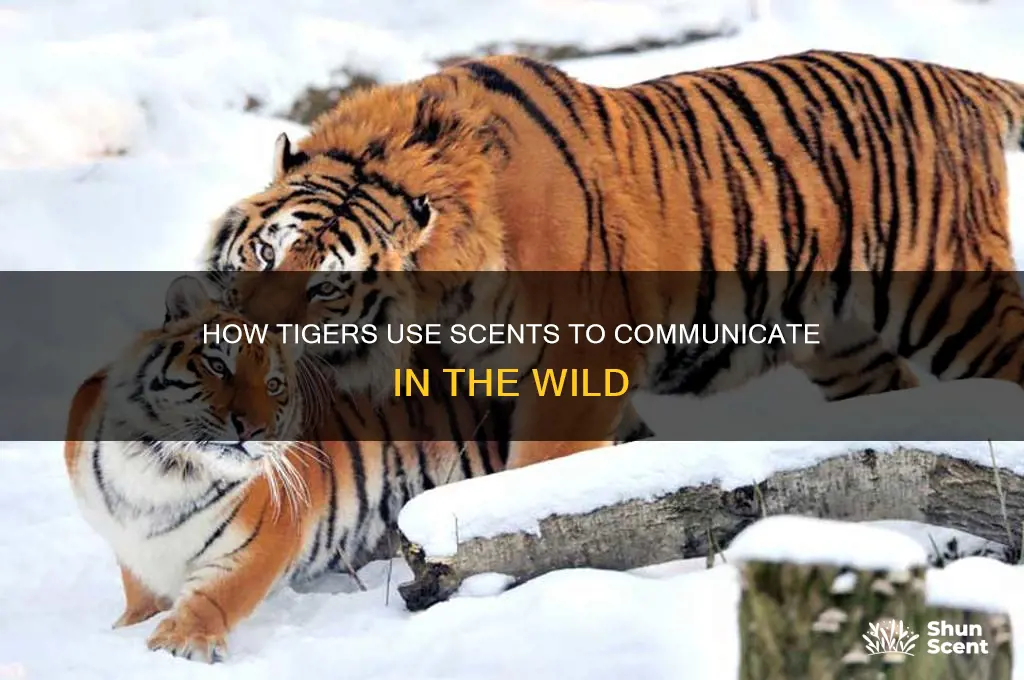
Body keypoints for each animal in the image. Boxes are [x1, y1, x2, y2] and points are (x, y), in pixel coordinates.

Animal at [64, 275, 648, 663]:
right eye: (217, 365)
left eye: (274, 386)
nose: (253, 429)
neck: (165, 469)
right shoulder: (128, 539)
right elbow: (139, 589)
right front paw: (130, 626)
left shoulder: (265, 536)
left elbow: (217, 595)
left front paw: (179, 643)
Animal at [203, 49, 1024, 469]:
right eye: (264, 253)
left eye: (327, 288)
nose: (249, 338)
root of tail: (960, 80)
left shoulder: (577, 360)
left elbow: (539, 466)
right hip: (840, 337)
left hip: (950, 296)